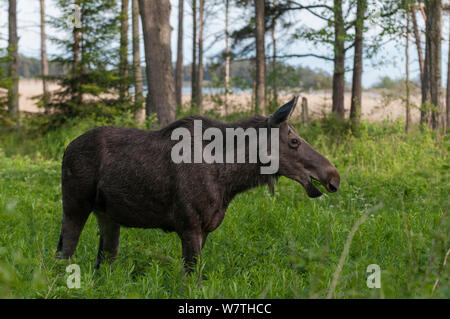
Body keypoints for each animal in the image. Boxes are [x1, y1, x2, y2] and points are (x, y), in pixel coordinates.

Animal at [55, 97, 338, 272]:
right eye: (294, 141)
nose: (333, 176)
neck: (229, 182)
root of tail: (66, 148)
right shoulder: (188, 225)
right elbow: (193, 279)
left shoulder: (206, 230)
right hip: (74, 206)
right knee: (63, 253)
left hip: (108, 216)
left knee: (103, 262)